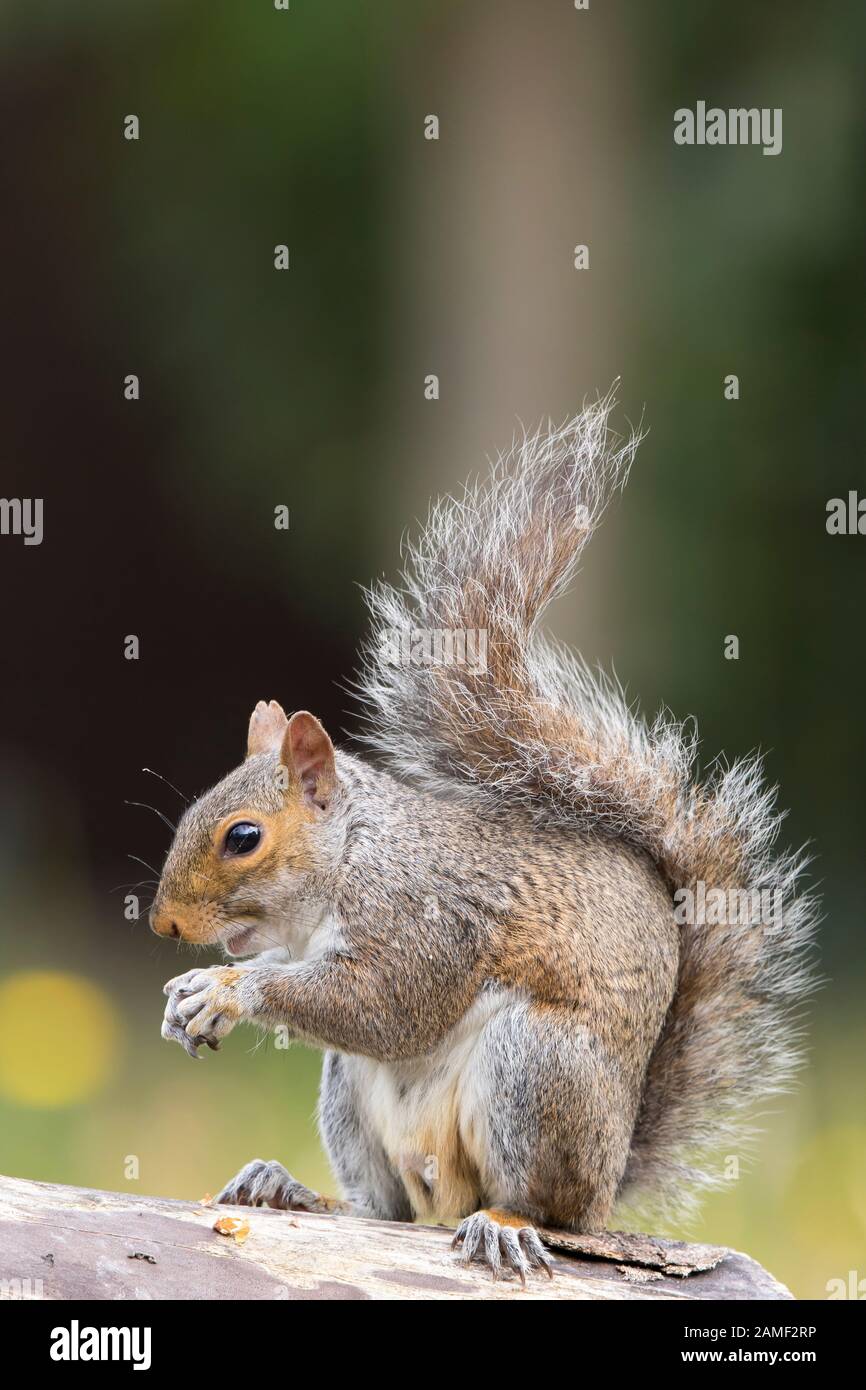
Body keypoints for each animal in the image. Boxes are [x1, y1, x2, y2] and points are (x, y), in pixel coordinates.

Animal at [150, 391, 817, 1281]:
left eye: (243, 837)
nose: (165, 924)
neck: (353, 857)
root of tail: (609, 1175)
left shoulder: (424, 918)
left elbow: (386, 1004)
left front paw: (226, 990)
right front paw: (189, 1002)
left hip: (536, 1069)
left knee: (541, 1203)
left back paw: (503, 1220)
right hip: (352, 1098)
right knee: (384, 1210)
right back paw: (290, 1187)